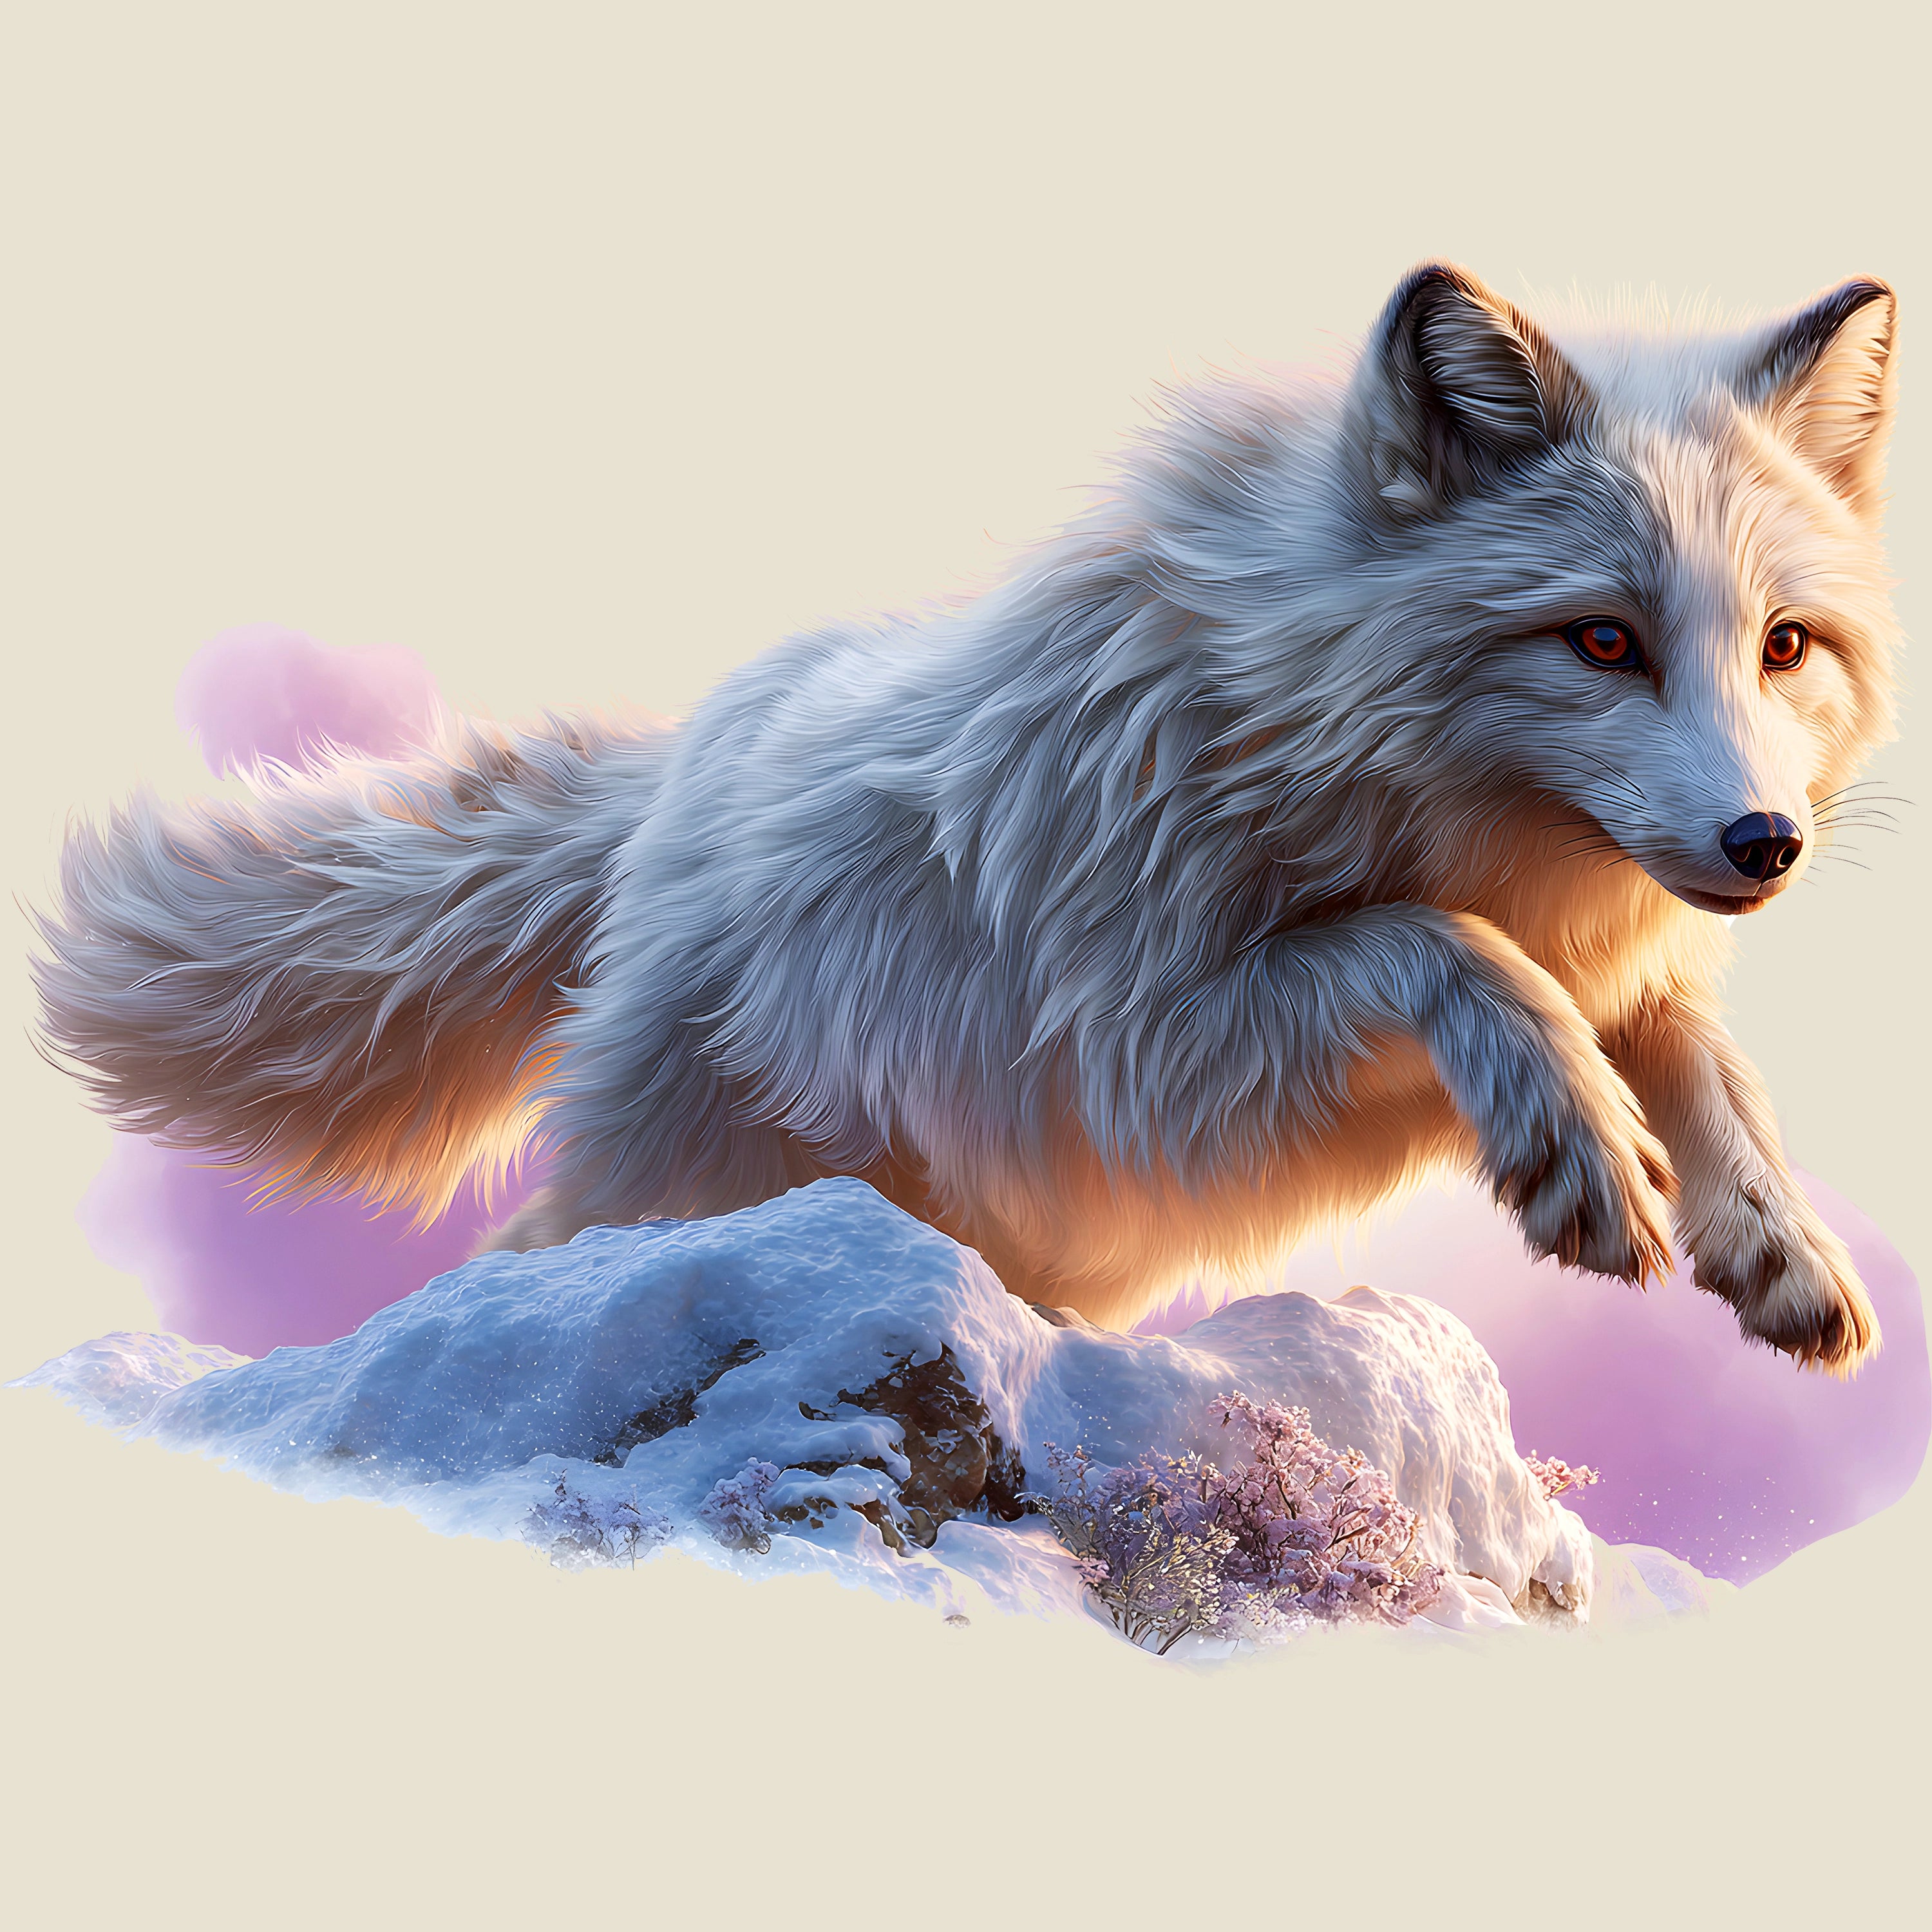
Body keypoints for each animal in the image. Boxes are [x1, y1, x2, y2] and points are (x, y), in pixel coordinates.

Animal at [34, 262, 1901, 1373]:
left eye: (1783, 646)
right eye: (1600, 640)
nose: (1765, 846)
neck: (1300, 712)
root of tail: (692, 755)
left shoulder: (1616, 951)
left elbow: (1692, 1046)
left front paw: (1768, 1234)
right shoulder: (1152, 1057)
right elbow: (1445, 948)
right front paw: (1578, 1140)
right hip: (701, 1172)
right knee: (548, 1260)